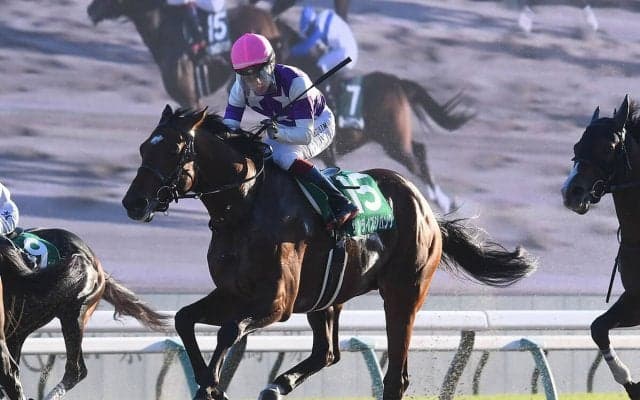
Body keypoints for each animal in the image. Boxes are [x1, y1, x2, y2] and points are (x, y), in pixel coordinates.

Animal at [121, 105, 537, 400]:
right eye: (142, 147)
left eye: (174, 149)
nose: (133, 202)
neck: (245, 206)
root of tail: (427, 210)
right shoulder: (233, 292)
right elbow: (183, 319)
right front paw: (210, 385)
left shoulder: (277, 301)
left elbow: (229, 331)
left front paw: (211, 388)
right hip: (327, 296)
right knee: (328, 353)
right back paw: (276, 386)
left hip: (403, 295)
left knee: (395, 377)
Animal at [561, 94, 640, 400]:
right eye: (576, 146)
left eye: (608, 148)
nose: (571, 192)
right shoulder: (634, 298)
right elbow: (598, 327)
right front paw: (630, 382)